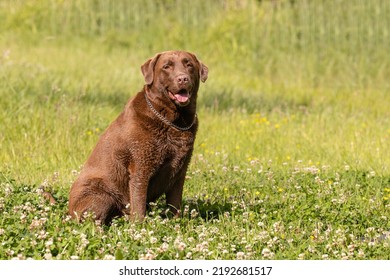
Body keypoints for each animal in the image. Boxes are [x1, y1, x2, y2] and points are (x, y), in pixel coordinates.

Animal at [68, 50, 209, 224]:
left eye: (188, 64)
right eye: (166, 66)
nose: (182, 78)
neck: (174, 121)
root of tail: (68, 211)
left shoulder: (180, 171)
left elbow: (175, 204)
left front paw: (176, 223)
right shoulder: (141, 167)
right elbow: (139, 204)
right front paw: (139, 226)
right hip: (101, 195)